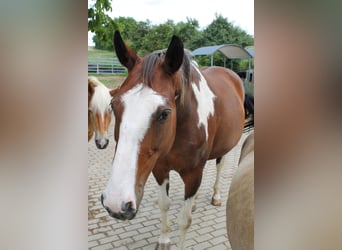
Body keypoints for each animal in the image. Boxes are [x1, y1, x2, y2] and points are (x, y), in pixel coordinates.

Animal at [101, 31, 254, 250]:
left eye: (165, 113)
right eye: (113, 106)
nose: (116, 202)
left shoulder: (192, 174)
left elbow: (184, 220)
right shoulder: (159, 169)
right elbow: (164, 205)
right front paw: (164, 240)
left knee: (219, 166)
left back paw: (216, 196)